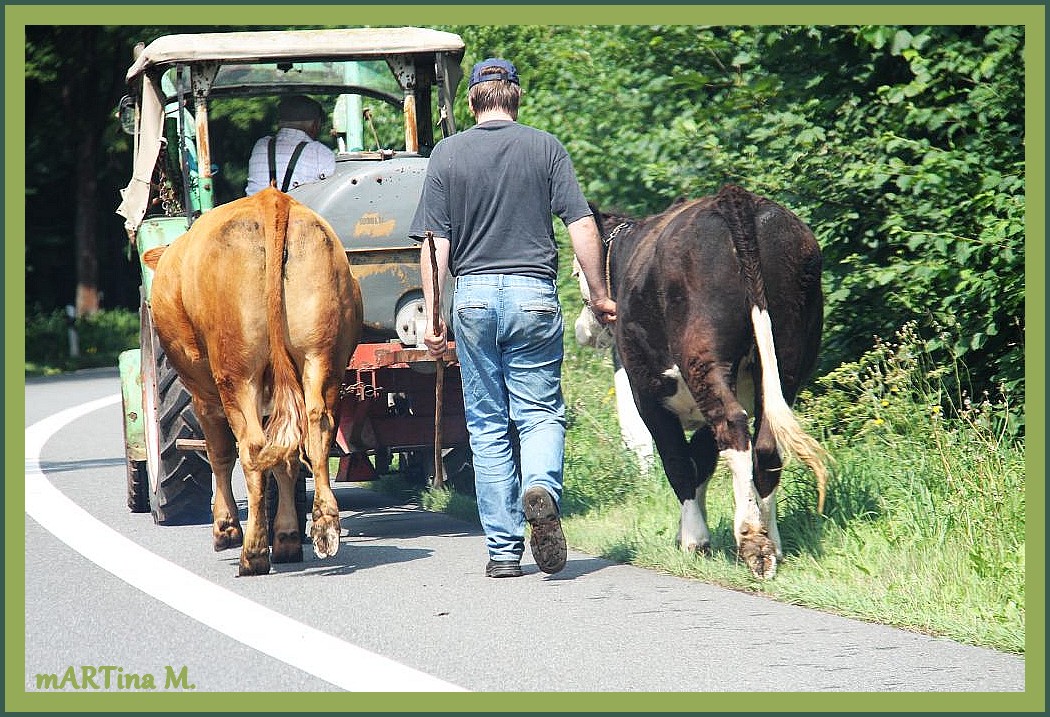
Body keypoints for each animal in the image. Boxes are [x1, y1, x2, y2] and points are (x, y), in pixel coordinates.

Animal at [145, 186, 363, 579]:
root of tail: (272, 200)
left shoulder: (203, 394)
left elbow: (219, 453)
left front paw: (226, 529)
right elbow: (285, 461)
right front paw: (287, 536)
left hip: (236, 375)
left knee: (252, 446)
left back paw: (254, 553)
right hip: (322, 358)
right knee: (313, 431)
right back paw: (321, 527)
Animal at [575, 183, 827, 579]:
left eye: (575, 274)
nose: (583, 331)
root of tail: (735, 197)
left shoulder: (647, 394)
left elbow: (680, 462)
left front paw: (693, 539)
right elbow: (702, 460)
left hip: (701, 358)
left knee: (732, 426)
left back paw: (753, 542)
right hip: (788, 355)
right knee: (765, 442)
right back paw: (772, 543)